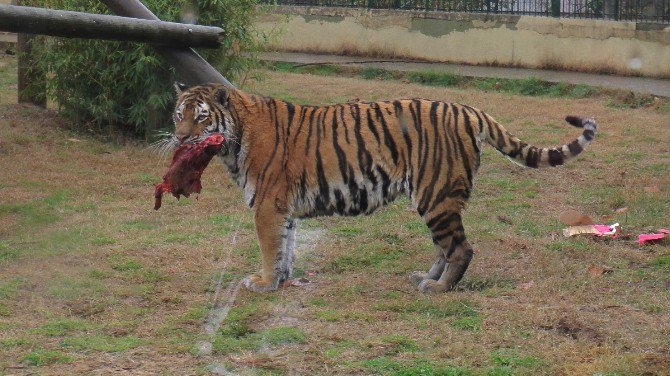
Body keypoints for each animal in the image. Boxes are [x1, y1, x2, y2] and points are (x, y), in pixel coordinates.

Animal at [168, 83, 600, 294]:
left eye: (201, 117)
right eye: (178, 114)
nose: (179, 137)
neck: (235, 137)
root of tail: (468, 109)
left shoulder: (267, 206)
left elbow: (269, 248)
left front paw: (262, 283)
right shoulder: (283, 209)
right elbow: (285, 247)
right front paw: (281, 281)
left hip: (435, 193)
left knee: (460, 247)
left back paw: (438, 288)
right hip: (435, 198)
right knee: (445, 246)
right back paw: (425, 278)